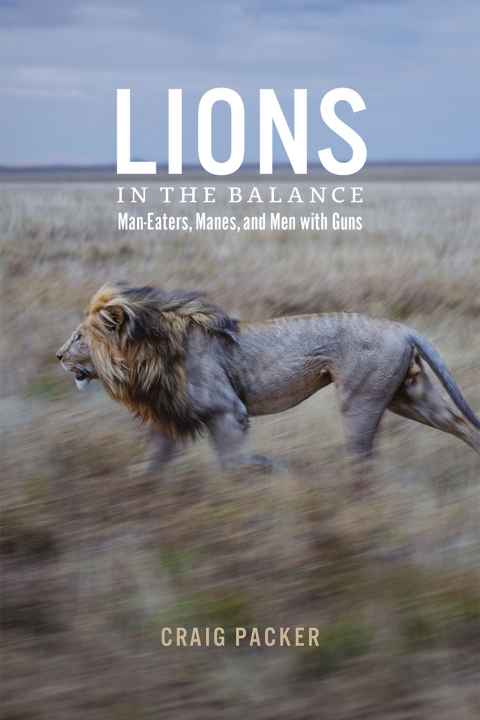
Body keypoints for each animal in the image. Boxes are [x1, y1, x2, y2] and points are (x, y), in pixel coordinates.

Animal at [57, 282, 480, 472]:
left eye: (78, 337)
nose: (58, 356)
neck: (144, 355)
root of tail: (403, 328)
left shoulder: (227, 411)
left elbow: (234, 463)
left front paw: (266, 473)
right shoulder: (169, 418)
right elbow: (153, 466)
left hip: (361, 399)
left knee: (361, 457)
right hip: (409, 396)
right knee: (461, 424)